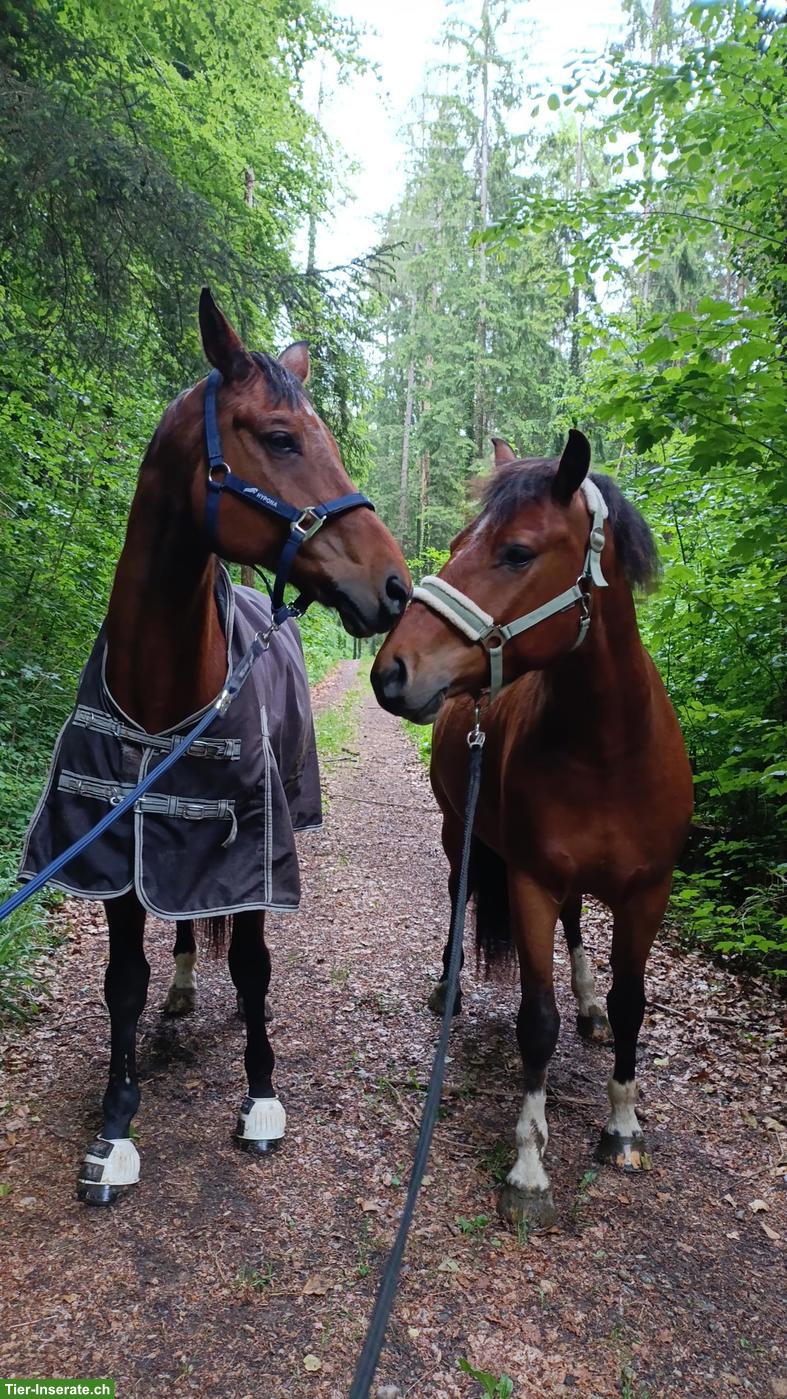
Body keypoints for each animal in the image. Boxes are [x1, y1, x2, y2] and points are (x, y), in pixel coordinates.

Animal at [19, 289, 410, 1203]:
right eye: (279, 436)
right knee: (189, 931)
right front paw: (116, 1125)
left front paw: (261, 1095)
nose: (395, 586)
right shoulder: (119, 850)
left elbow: (257, 965)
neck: (164, 695)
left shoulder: (250, 847)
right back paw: (184, 992)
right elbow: (124, 982)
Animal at [371, 431, 693, 1226]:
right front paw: (528, 1164)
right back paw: (448, 988)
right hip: (457, 832)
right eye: (458, 542)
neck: (610, 749)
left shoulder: (649, 890)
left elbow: (632, 1004)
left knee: (581, 930)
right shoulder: (529, 882)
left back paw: (588, 1002)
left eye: (516, 552)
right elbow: (536, 1021)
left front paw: (621, 1124)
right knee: (460, 898)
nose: (392, 671)